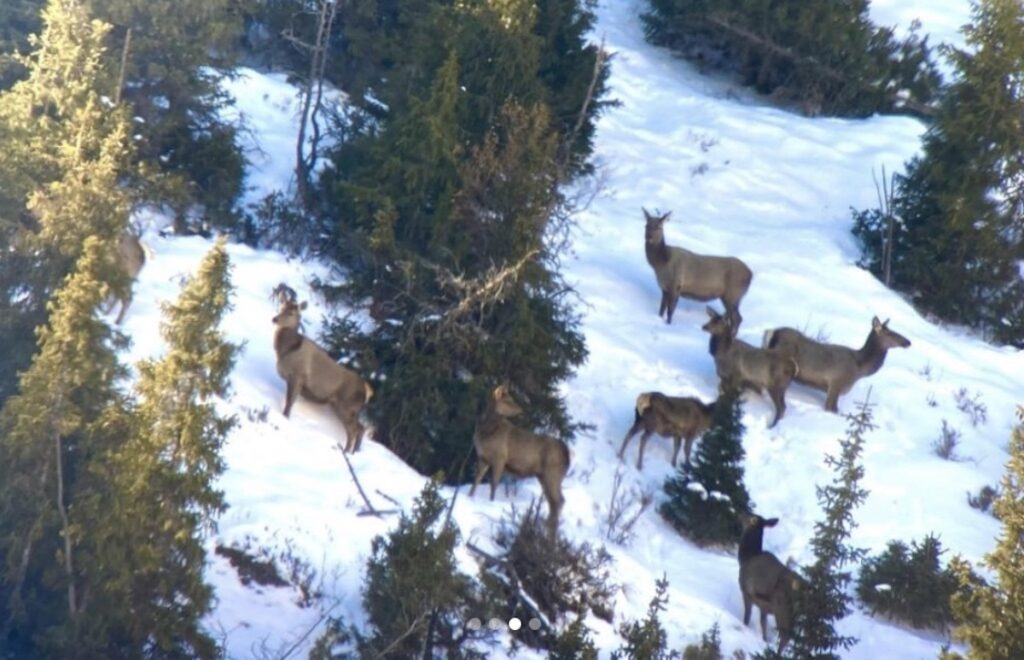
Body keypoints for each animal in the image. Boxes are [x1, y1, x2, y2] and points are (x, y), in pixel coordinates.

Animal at [272, 296, 376, 450]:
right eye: (281, 307)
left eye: (291, 313)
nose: (275, 319)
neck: (287, 351)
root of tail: (367, 390)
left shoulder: (298, 376)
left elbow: (290, 402)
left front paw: (285, 417)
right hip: (348, 409)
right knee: (361, 428)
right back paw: (355, 451)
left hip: (347, 406)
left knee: (354, 429)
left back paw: (346, 451)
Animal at [468, 386, 573, 536]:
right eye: (508, 400)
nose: (522, 410)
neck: (486, 432)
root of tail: (567, 455)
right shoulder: (483, 458)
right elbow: (476, 480)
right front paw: (469, 496)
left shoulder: (500, 458)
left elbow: (493, 484)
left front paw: (491, 502)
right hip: (543, 476)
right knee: (554, 501)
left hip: (552, 474)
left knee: (559, 500)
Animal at [741, 515, 802, 646]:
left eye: (749, 516)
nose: (741, 514)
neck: (746, 557)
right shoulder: (763, 606)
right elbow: (763, 623)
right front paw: (764, 639)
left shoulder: (746, 592)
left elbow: (747, 617)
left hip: (782, 607)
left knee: (785, 635)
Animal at [761, 315, 913, 411]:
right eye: (890, 333)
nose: (908, 342)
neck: (860, 368)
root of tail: (772, 332)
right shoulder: (836, 384)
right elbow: (831, 409)